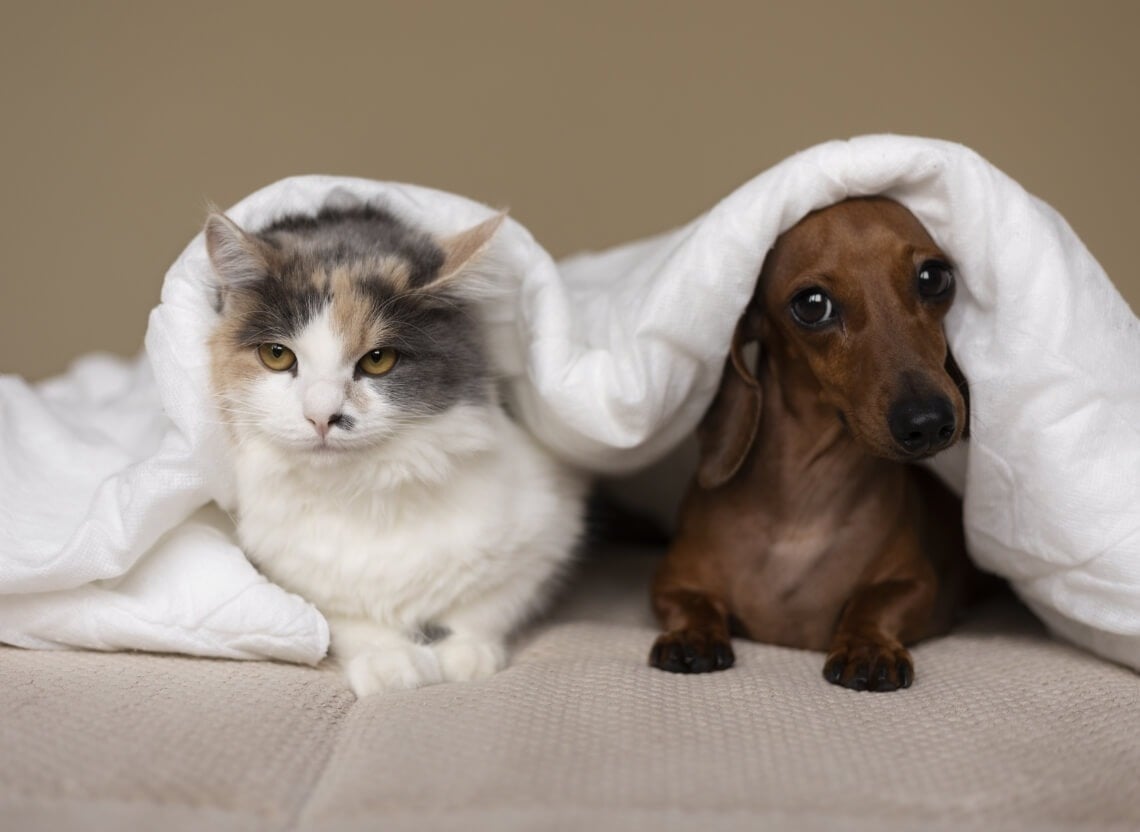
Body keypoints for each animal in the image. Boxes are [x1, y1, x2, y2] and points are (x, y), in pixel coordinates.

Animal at [202, 204, 588, 697]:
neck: (367, 493)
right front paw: (391, 662)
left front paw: (465, 655)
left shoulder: (549, 527)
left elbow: (487, 604)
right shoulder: (291, 573)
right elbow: (347, 618)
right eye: (276, 355)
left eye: (378, 360)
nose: (321, 417)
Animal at [647, 197, 984, 688]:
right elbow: (690, 601)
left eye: (934, 278)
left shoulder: (917, 583)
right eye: (811, 306)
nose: (928, 421)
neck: (802, 508)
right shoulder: (671, 578)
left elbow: (874, 602)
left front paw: (867, 645)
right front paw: (694, 635)